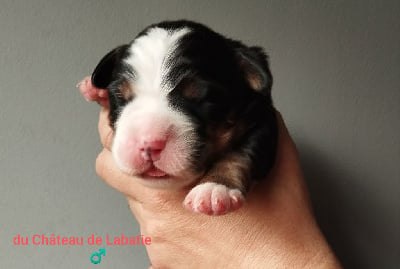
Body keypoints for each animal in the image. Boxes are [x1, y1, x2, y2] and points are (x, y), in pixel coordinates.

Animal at [78, 19, 278, 215]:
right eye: (120, 96)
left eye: (203, 97)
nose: (149, 144)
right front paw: (95, 90)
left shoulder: (263, 119)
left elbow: (240, 153)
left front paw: (215, 188)